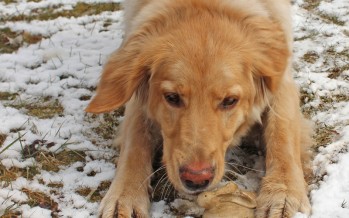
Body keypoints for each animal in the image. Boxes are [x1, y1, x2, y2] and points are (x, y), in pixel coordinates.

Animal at [85, 0, 312, 216]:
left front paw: (282, 193)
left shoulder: (281, 80)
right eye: (172, 97)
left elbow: (282, 135)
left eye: (230, 100)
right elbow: (135, 143)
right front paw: (124, 196)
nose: (196, 179)